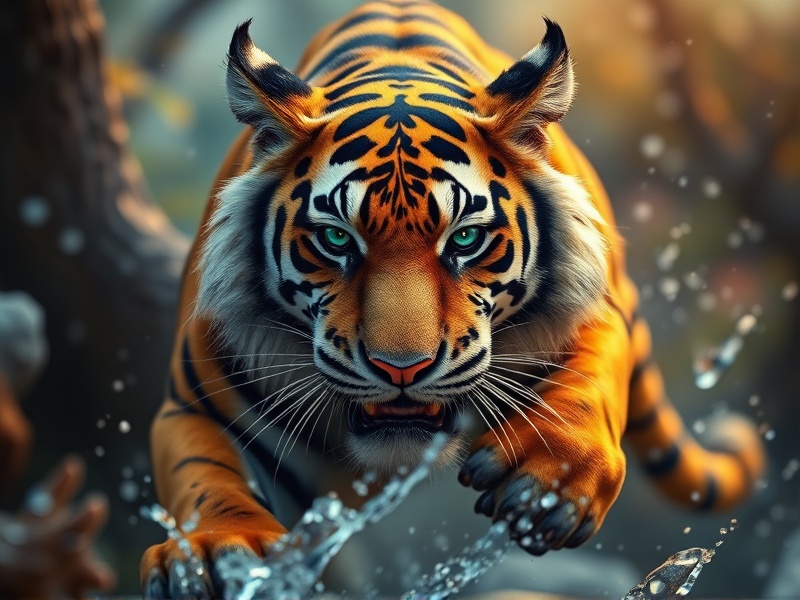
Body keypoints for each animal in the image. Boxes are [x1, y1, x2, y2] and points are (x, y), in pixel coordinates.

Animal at [141, 0, 766, 595]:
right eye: (336, 238)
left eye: (465, 239)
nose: (402, 369)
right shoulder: (193, 405)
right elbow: (206, 477)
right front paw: (220, 552)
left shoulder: (600, 308)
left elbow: (593, 379)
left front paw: (549, 485)